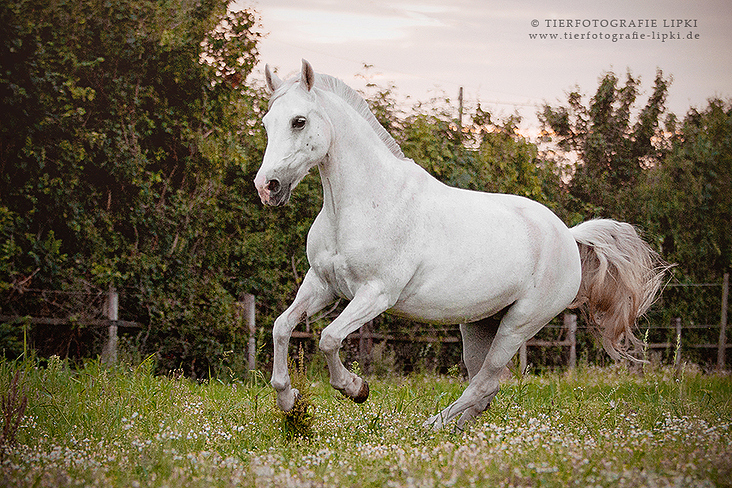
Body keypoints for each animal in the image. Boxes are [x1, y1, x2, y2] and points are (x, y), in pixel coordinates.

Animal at [253, 59, 668, 428]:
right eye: (267, 123)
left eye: (299, 121)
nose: (267, 187)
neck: (364, 202)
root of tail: (568, 235)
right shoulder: (322, 285)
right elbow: (281, 327)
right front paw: (288, 401)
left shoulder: (375, 293)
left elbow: (328, 338)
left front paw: (356, 388)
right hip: (479, 324)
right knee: (484, 390)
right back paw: (450, 430)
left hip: (518, 325)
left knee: (483, 383)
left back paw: (430, 427)